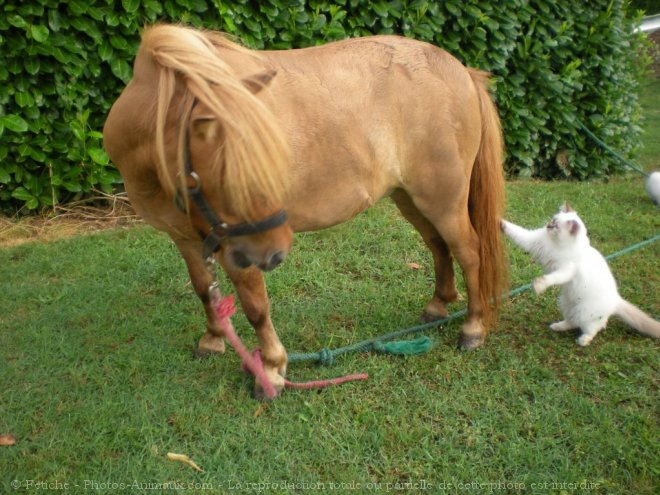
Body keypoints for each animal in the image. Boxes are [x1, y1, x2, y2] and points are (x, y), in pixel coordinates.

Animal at [103, 26, 508, 400]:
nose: (276, 252)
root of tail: (461, 71)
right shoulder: (187, 238)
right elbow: (206, 291)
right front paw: (213, 340)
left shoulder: (237, 249)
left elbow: (255, 307)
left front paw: (271, 370)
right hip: (409, 197)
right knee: (438, 246)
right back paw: (438, 306)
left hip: (443, 199)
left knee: (469, 253)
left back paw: (472, 329)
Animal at [500, 203, 660, 346]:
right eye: (553, 220)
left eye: (556, 226)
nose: (548, 225)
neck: (555, 244)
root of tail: (617, 300)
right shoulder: (532, 240)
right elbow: (515, 230)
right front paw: (500, 222)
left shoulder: (565, 270)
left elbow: (551, 278)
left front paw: (538, 285)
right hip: (566, 304)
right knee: (571, 322)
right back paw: (557, 326)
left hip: (584, 314)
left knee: (592, 329)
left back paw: (583, 341)